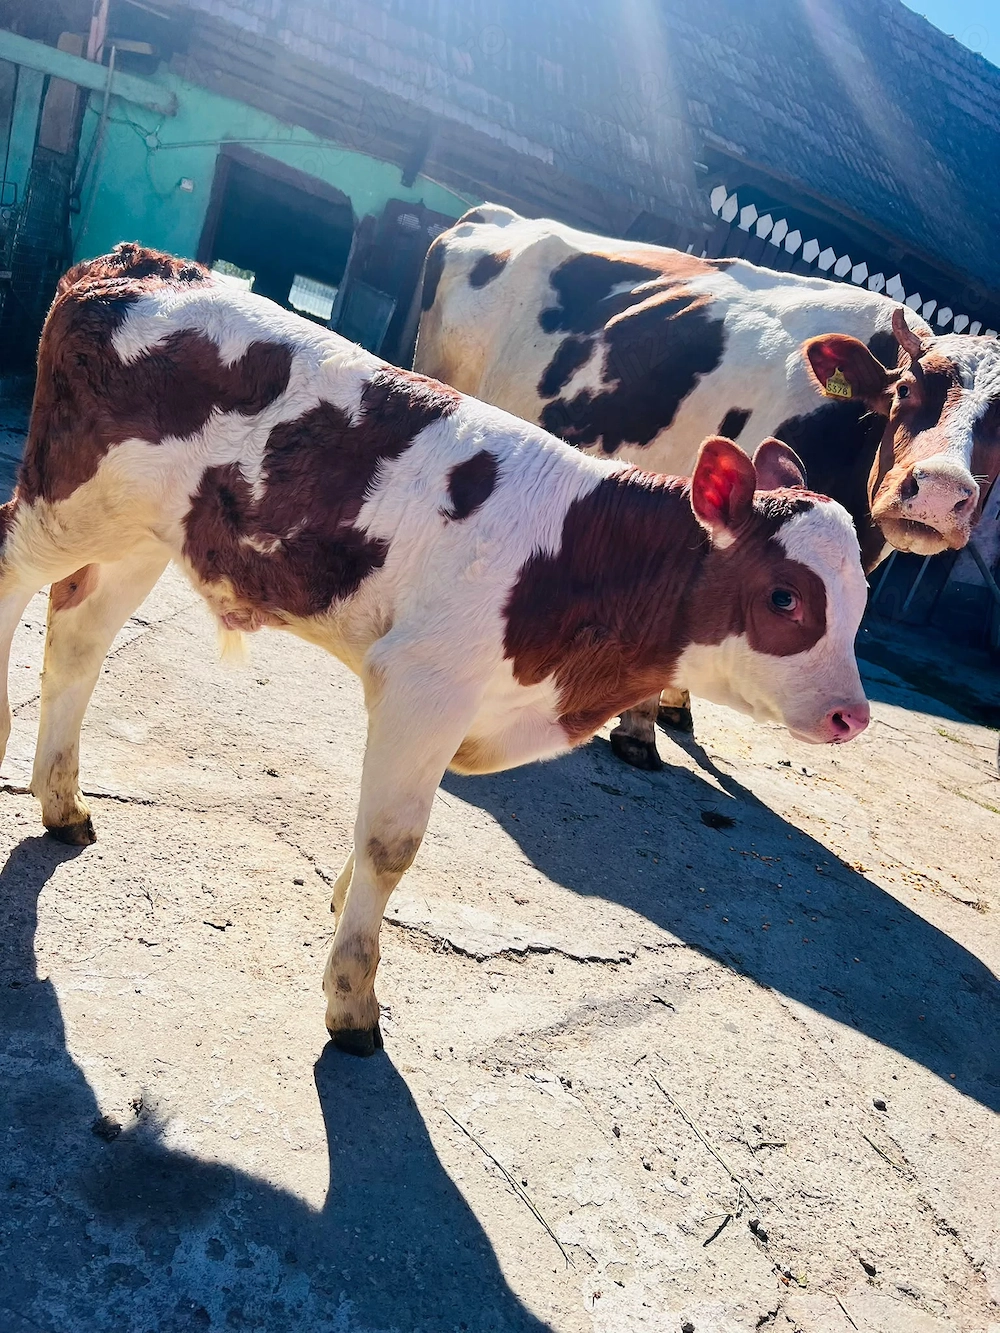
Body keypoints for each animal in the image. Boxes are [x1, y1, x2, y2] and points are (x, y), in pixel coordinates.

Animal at [0, 245, 870, 1054]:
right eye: (785, 596)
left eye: (861, 598)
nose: (851, 715)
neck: (577, 559)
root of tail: (137, 263)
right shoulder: (424, 682)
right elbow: (393, 843)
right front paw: (352, 998)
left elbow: (374, 837)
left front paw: (340, 904)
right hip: (67, 499)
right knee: (11, 572)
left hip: (141, 532)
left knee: (79, 637)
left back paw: (62, 802)